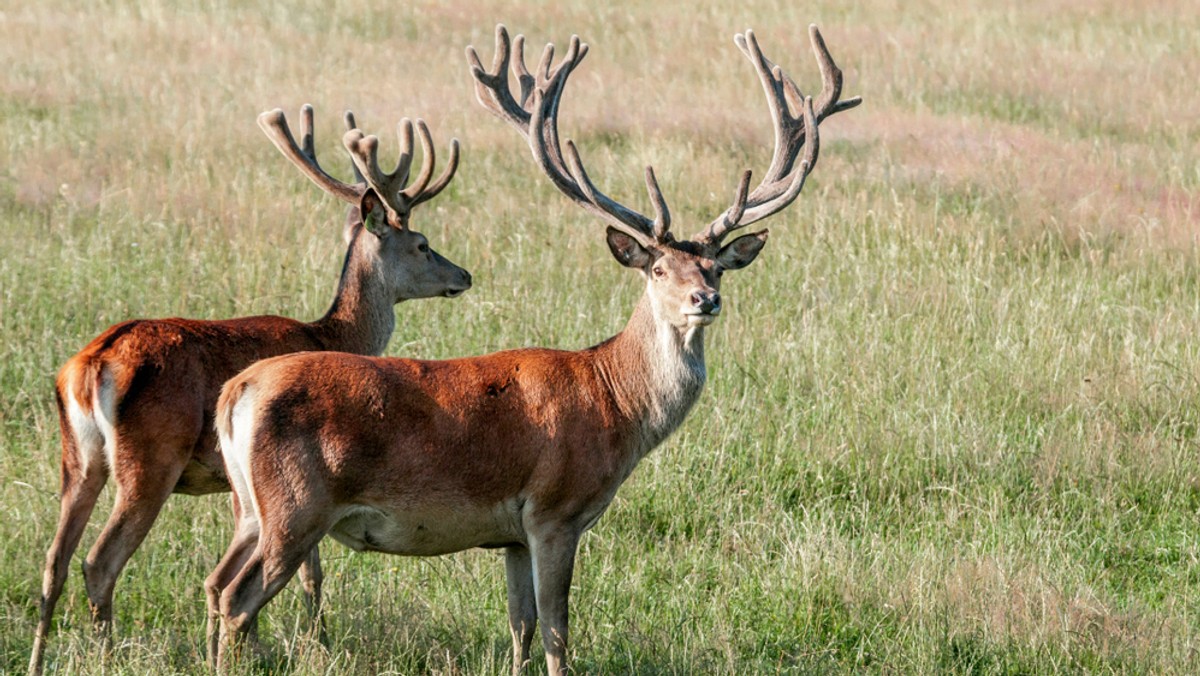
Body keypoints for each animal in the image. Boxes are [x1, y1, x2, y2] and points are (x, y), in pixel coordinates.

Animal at [28, 105, 468, 676]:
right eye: (422, 244)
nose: (464, 275)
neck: (333, 334)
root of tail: (90, 366)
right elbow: (309, 572)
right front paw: (316, 644)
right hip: (150, 459)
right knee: (99, 562)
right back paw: (107, 656)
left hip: (78, 459)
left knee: (54, 560)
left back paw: (38, 658)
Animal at [208, 23, 864, 672]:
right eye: (657, 270)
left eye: (716, 267)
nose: (705, 300)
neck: (615, 402)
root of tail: (236, 392)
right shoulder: (554, 510)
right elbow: (557, 628)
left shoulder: (511, 535)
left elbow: (520, 625)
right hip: (297, 505)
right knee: (239, 598)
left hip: (251, 507)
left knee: (216, 583)